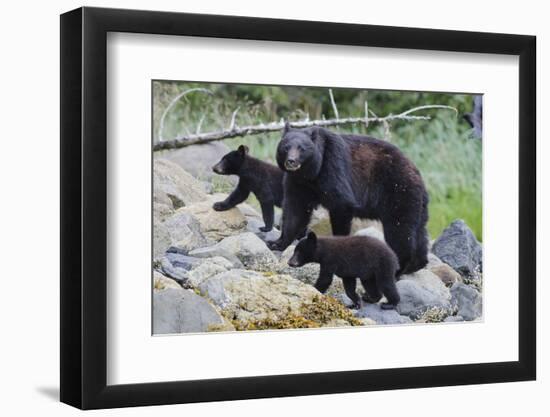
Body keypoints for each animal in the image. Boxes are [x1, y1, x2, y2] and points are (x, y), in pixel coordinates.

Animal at [270, 123, 432, 274]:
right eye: (285, 147)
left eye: (302, 148)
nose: (291, 161)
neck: (311, 174)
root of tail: (419, 176)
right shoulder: (297, 183)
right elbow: (295, 210)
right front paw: (277, 243)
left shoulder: (333, 167)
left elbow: (341, 204)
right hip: (416, 204)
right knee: (419, 232)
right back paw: (417, 264)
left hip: (399, 193)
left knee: (400, 231)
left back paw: (399, 267)